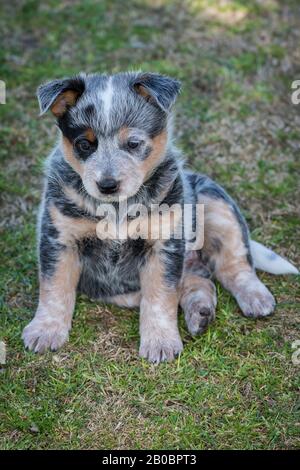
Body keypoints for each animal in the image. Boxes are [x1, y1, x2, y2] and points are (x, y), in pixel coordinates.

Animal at [22, 71, 298, 362]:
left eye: (133, 143)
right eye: (84, 144)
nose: (107, 185)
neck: (117, 209)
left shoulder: (164, 244)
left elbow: (160, 297)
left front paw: (160, 342)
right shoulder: (59, 237)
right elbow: (54, 288)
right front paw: (45, 330)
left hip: (215, 203)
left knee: (234, 264)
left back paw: (255, 297)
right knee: (200, 281)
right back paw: (200, 313)